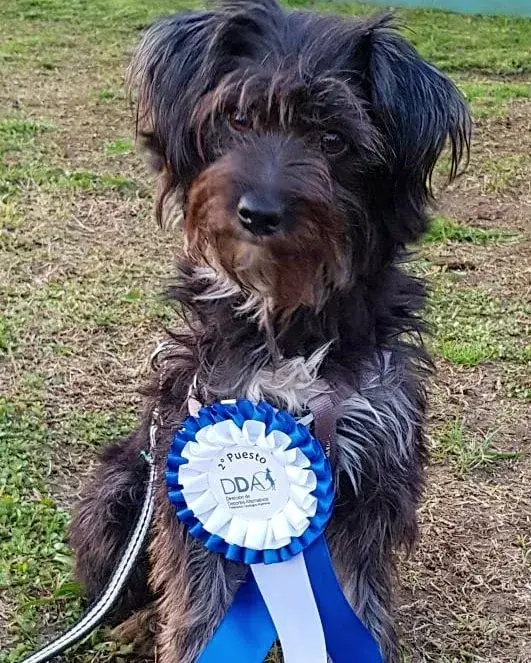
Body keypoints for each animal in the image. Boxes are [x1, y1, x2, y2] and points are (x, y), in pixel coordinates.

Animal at [68, 2, 472, 660]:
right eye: (235, 117)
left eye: (334, 140)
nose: (258, 213)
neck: (290, 318)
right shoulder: (193, 465)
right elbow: (195, 606)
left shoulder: (373, 477)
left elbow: (360, 602)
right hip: (119, 489)